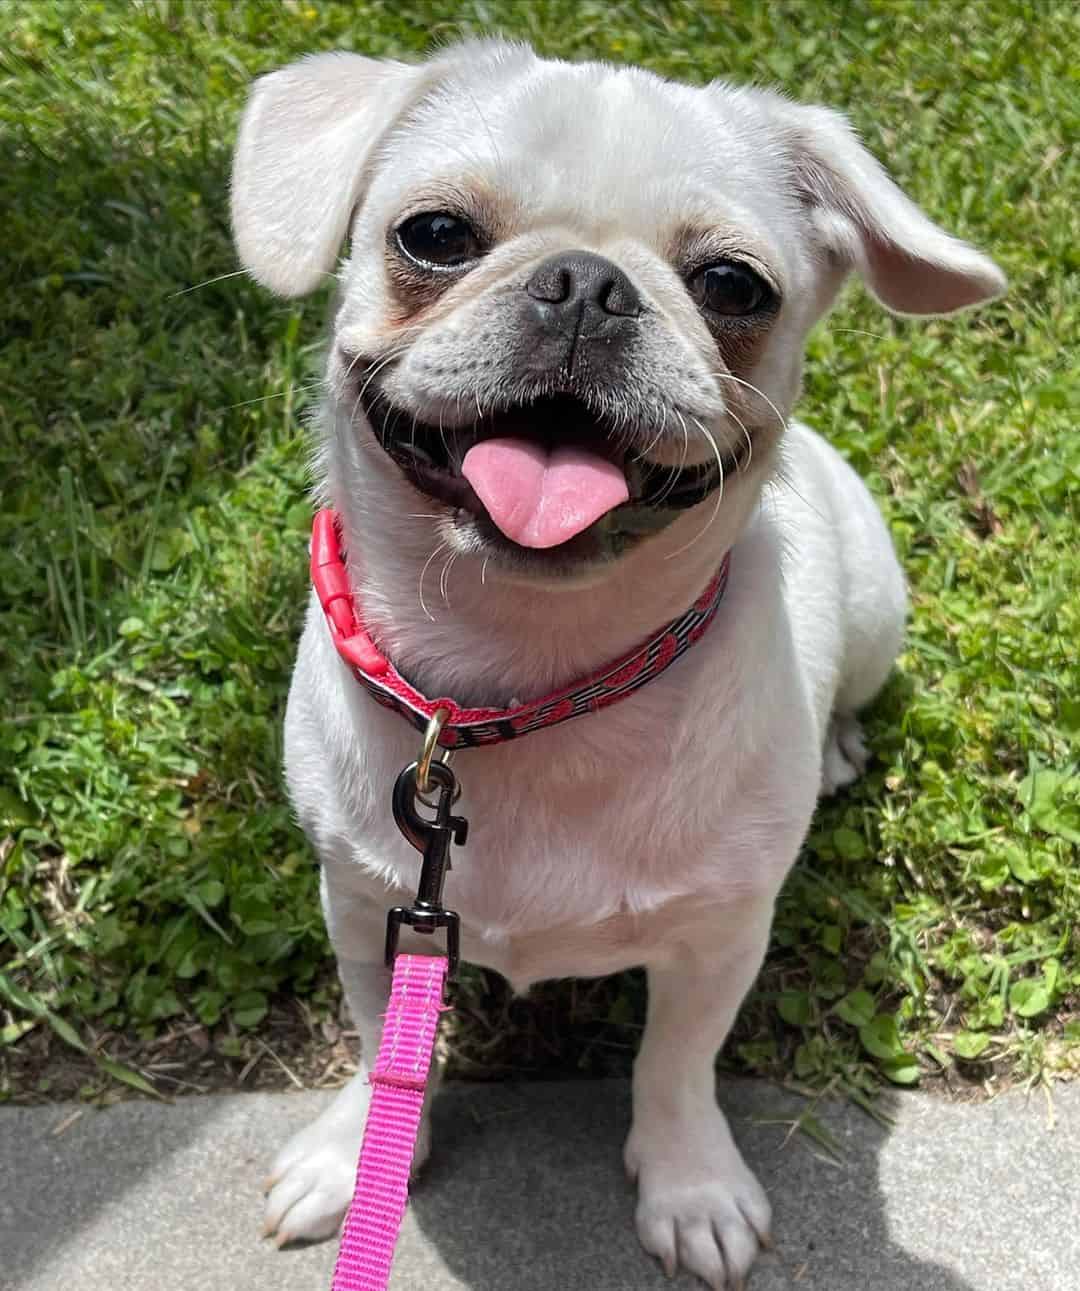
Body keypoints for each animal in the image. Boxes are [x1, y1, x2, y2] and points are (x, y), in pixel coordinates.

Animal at [232, 37, 1006, 1280]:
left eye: (735, 287)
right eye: (433, 234)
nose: (587, 285)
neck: (528, 672)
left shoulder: (719, 939)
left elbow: (677, 1063)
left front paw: (691, 1186)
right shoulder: (366, 906)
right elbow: (374, 1039)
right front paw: (357, 1153)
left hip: (879, 610)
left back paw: (841, 743)